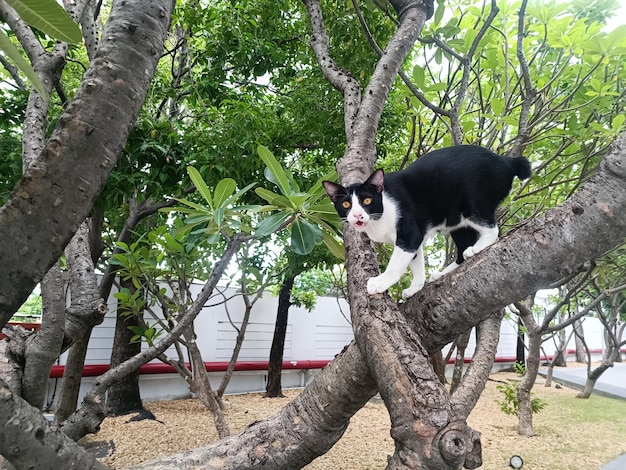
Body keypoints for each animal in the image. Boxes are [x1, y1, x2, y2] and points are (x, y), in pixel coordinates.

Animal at [324, 144, 528, 298]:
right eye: (346, 204)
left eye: (366, 200)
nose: (357, 215)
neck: (380, 216)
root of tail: (506, 160)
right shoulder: (414, 240)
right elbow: (416, 264)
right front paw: (416, 287)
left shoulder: (410, 233)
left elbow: (397, 264)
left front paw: (380, 283)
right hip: (456, 220)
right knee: (463, 244)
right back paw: (443, 273)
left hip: (472, 204)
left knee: (492, 229)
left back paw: (477, 248)